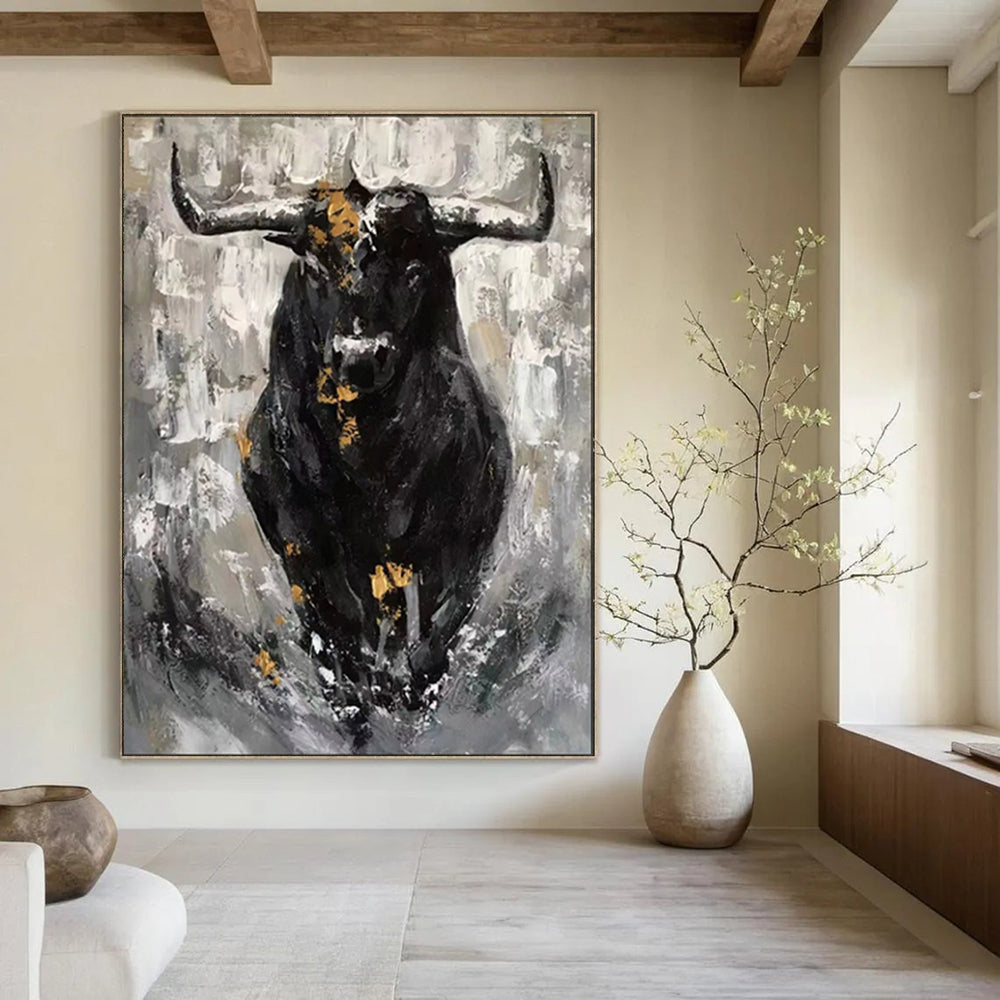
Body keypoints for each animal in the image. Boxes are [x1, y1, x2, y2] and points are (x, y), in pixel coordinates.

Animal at [169, 140, 554, 747]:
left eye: (416, 270)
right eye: (314, 267)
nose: (360, 355)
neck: (369, 462)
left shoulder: (452, 551)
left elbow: (429, 644)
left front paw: (409, 705)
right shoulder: (304, 552)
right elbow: (337, 647)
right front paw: (357, 712)